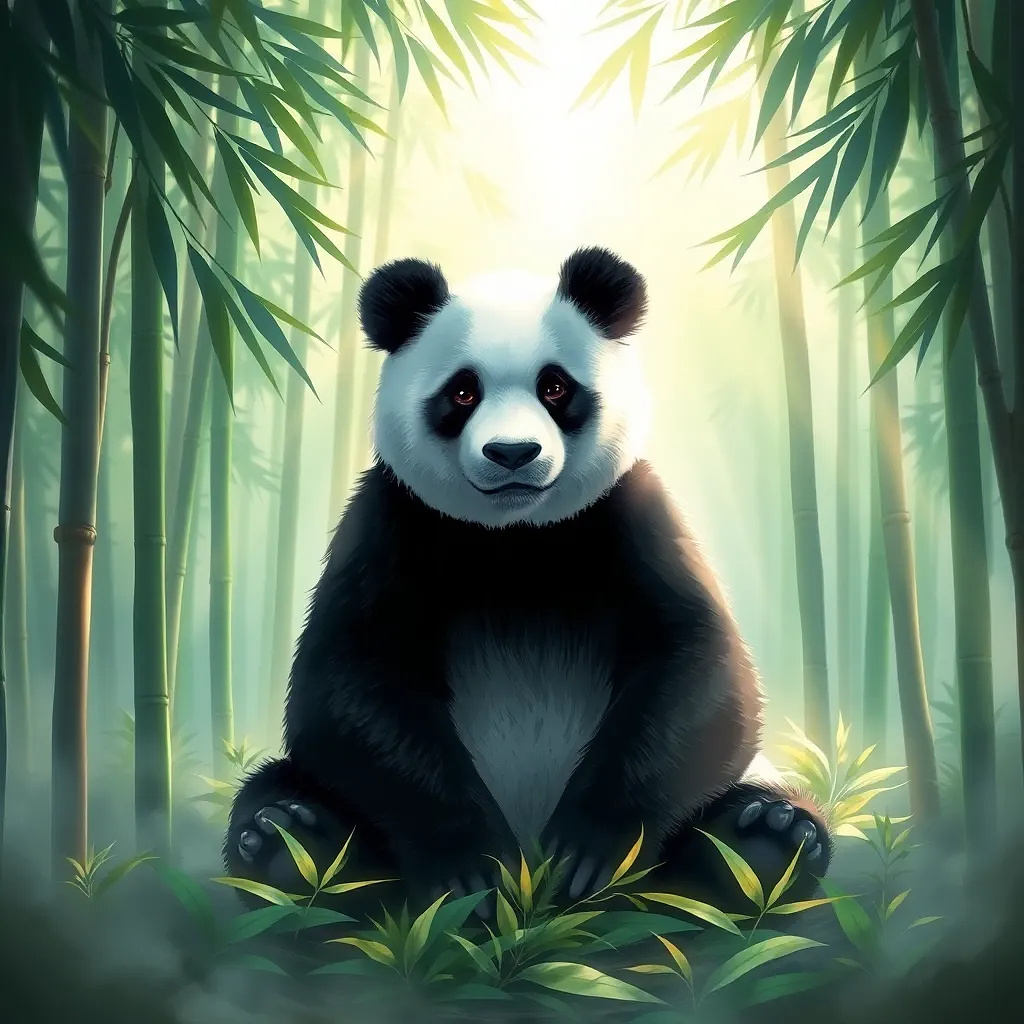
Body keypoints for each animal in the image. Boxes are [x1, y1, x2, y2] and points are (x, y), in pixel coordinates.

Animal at [224, 247, 831, 916]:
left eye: (555, 387)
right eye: (463, 391)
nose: (512, 452)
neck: (516, 539)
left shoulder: (632, 517)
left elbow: (701, 668)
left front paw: (585, 855)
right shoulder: (391, 521)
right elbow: (348, 683)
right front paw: (474, 872)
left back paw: (765, 837)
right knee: (285, 789)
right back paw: (289, 840)